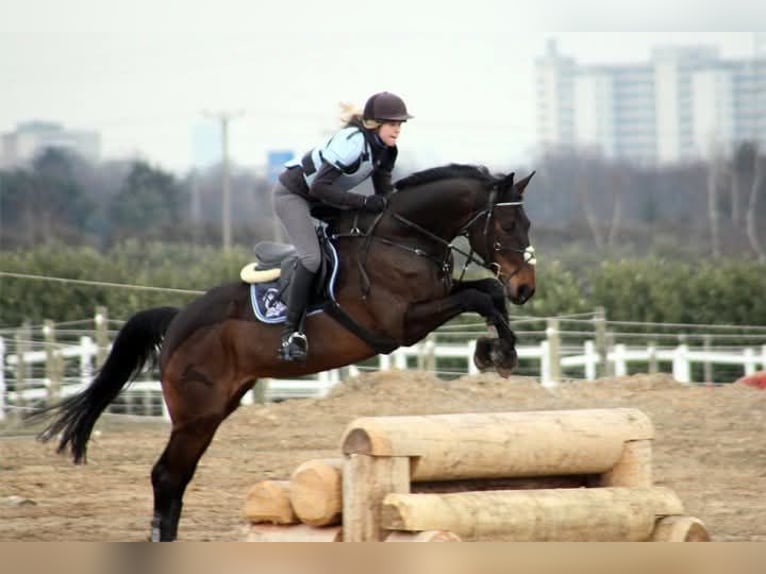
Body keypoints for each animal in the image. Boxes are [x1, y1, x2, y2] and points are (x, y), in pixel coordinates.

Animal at [31, 163, 536, 541]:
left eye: (526, 224)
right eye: (508, 224)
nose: (527, 289)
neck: (402, 238)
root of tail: (177, 320)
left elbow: (487, 291)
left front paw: (497, 350)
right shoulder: (400, 325)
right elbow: (478, 296)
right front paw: (498, 352)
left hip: (216, 409)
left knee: (176, 477)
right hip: (197, 412)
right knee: (167, 476)